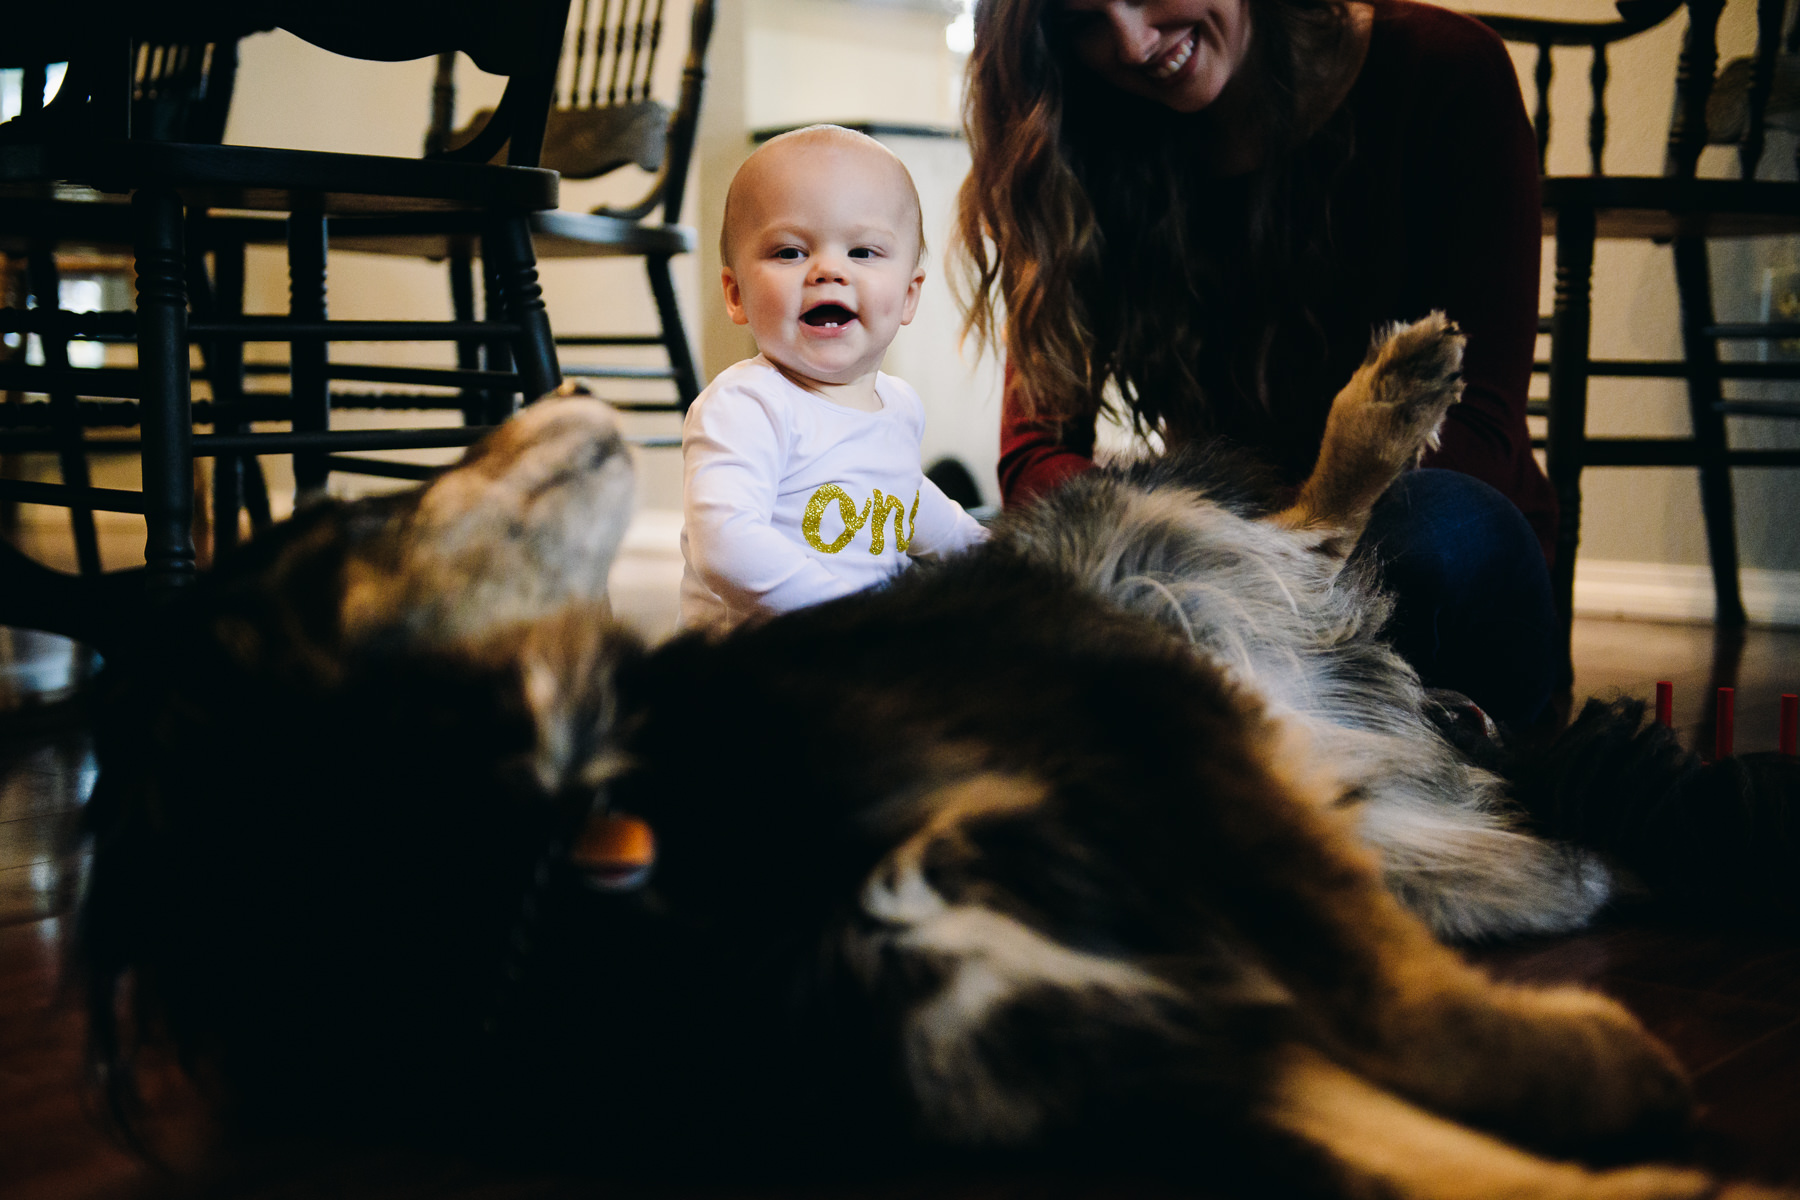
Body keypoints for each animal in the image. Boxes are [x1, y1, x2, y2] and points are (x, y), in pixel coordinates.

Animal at [87, 318, 1800, 1200]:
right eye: (369, 516)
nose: (565, 387)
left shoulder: (1122, 716)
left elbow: (1396, 1010)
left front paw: (1595, 1077)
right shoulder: (1070, 1044)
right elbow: (1395, 1131)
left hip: (1144, 579)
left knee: (1306, 517)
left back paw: (1396, 395)